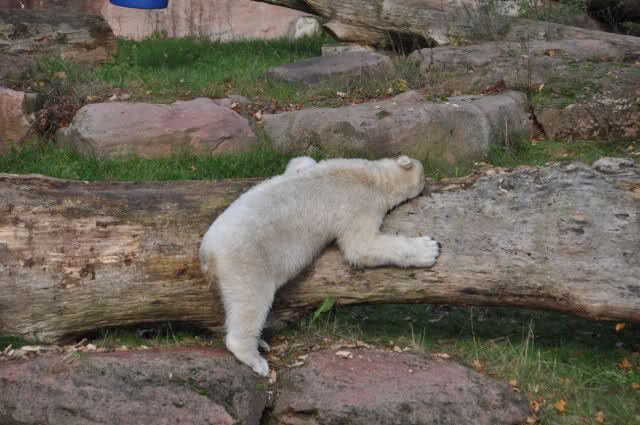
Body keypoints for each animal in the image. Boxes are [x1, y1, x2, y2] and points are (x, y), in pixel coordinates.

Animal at [199, 155, 440, 376]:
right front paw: (429, 248)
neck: (371, 175)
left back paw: (261, 342)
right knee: (251, 301)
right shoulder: (359, 204)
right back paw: (256, 359)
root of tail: (207, 251)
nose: (427, 179)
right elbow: (361, 248)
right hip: (246, 260)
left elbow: (299, 161)